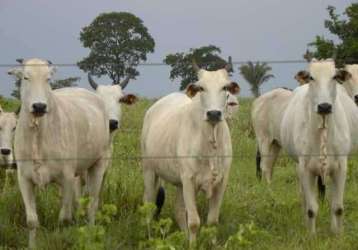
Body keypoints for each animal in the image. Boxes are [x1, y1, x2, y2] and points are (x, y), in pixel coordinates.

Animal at [9, 58, 110, 248]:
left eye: (48, 79)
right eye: (25, 77)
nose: (39, 106)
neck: (38, 135)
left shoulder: (67, 177)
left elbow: (64, 219)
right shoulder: (24, 178)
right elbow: (32, 221)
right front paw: (32, 246)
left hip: (99, 163)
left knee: (92, 205)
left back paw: (90, 235)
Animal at [141, 62, 239, 242]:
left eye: (224, 87)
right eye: (201, 88)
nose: (213, 114)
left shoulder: (221, 182)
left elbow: (212, 221)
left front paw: (210, 243)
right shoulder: (188, 180)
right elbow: (194, 222)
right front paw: (193, 244)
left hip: (179, 183)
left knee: (179, 210)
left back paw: (183, 237)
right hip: (149, 171)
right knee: (149, 204)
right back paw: (150, 236)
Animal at [282, 59, 356, 234]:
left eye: (334, 77)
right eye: (311, 77)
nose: (324, 107)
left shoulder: (341, 168)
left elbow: (338, 207)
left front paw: (337, 233)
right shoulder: (305, 169)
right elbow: (311, 209)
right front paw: (311, 235)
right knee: (304, 200)